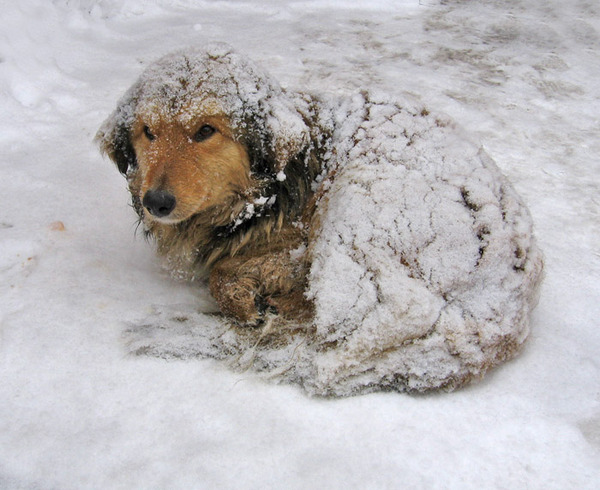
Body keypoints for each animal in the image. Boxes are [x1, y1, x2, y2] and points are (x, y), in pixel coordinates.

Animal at [97, 43, 544, 394]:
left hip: (363, 198)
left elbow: (223, 275)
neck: (260, 196)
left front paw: (245, 299)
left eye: (205, 130)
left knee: (371, 318)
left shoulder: (299, 248)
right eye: (148, 132)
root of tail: (506, 304)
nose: (156, 202)